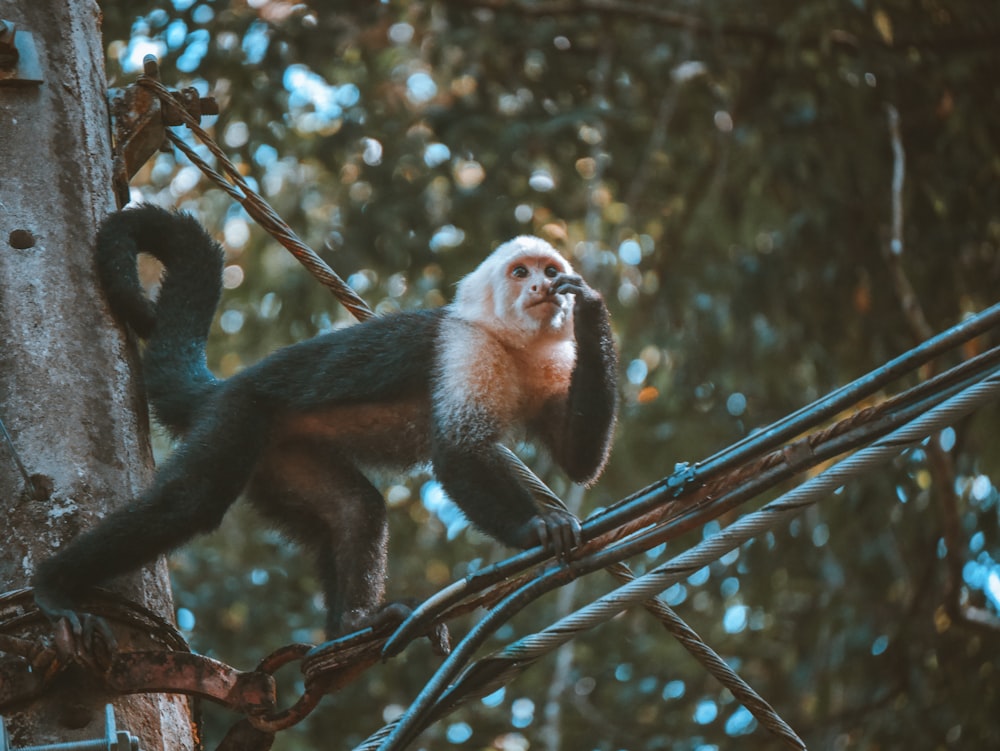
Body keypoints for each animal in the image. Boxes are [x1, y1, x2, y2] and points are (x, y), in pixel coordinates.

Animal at [33, 206, 616, 640]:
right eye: (521, 273)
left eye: (548, 270)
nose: (544, 288)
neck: (511, 344)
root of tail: (223, 387)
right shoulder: (465, 347)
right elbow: (457, 453)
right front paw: (533, 529)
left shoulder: (552, 364)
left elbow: (578, 460)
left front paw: (590, 307)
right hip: (240, 415)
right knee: (189, 502)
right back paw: (54, 583)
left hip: (278, 456)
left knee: (355, 510)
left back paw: (352, 625)